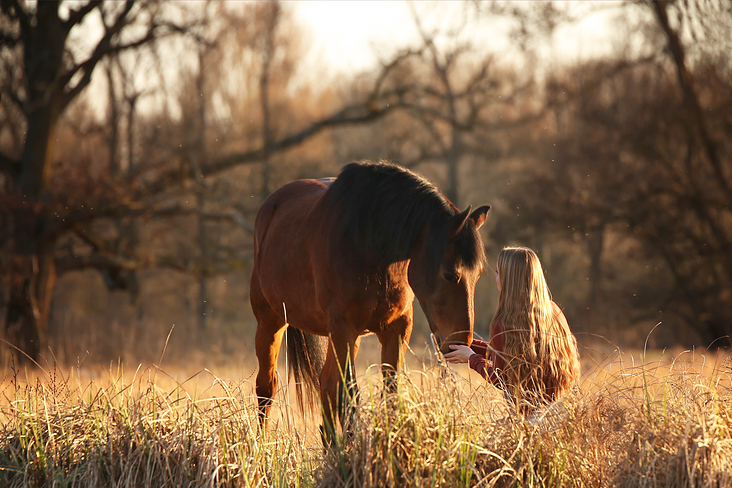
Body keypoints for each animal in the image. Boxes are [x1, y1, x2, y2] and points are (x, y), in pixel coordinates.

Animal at [249, 161, 488, 438]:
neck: (369, 247)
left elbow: (390, 390)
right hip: (271, 322)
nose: (459, 343)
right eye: (450, 274)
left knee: (326, 383)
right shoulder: (344, 329)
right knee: (267, 386)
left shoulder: (396, 329)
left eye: (479, 274)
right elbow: (350, 393)